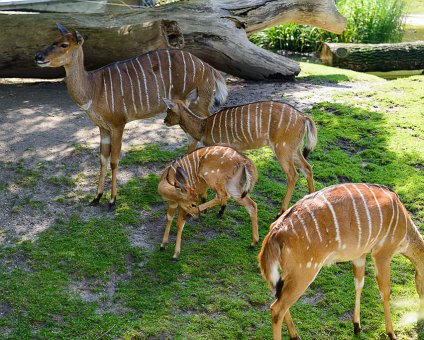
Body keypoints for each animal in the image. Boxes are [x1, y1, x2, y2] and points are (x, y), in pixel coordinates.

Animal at [34, 23, 227, 210]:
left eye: (64, 44)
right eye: (53, 40)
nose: (38, 57)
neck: (94, 89)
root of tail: (209, 68)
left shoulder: (118, 124)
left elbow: (114, 160)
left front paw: (112, 201)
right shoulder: (102, 127)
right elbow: (102, 159)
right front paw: (96, 198)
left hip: (198, 105)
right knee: (193, 136)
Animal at [164, 87, 316, 215]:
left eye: (168, 110)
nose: (165, 121)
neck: (204, 127)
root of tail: (303, 117)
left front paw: (217, 208)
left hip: (282, 149)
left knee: (293, 174)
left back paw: (281, 211)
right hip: (294, 149)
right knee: (307, 167)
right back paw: (310, 198)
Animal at [258, 183, 424, 340]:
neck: (404, 225)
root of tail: (275, 231)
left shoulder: (360, 255)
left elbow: (359, 284)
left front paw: (357, 326)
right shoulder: (382, 253)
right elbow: (385, 291)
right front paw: (391, 334)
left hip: (286, 274)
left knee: (278, 298)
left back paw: (295, 335)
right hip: (304, 272)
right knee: (276, 309)